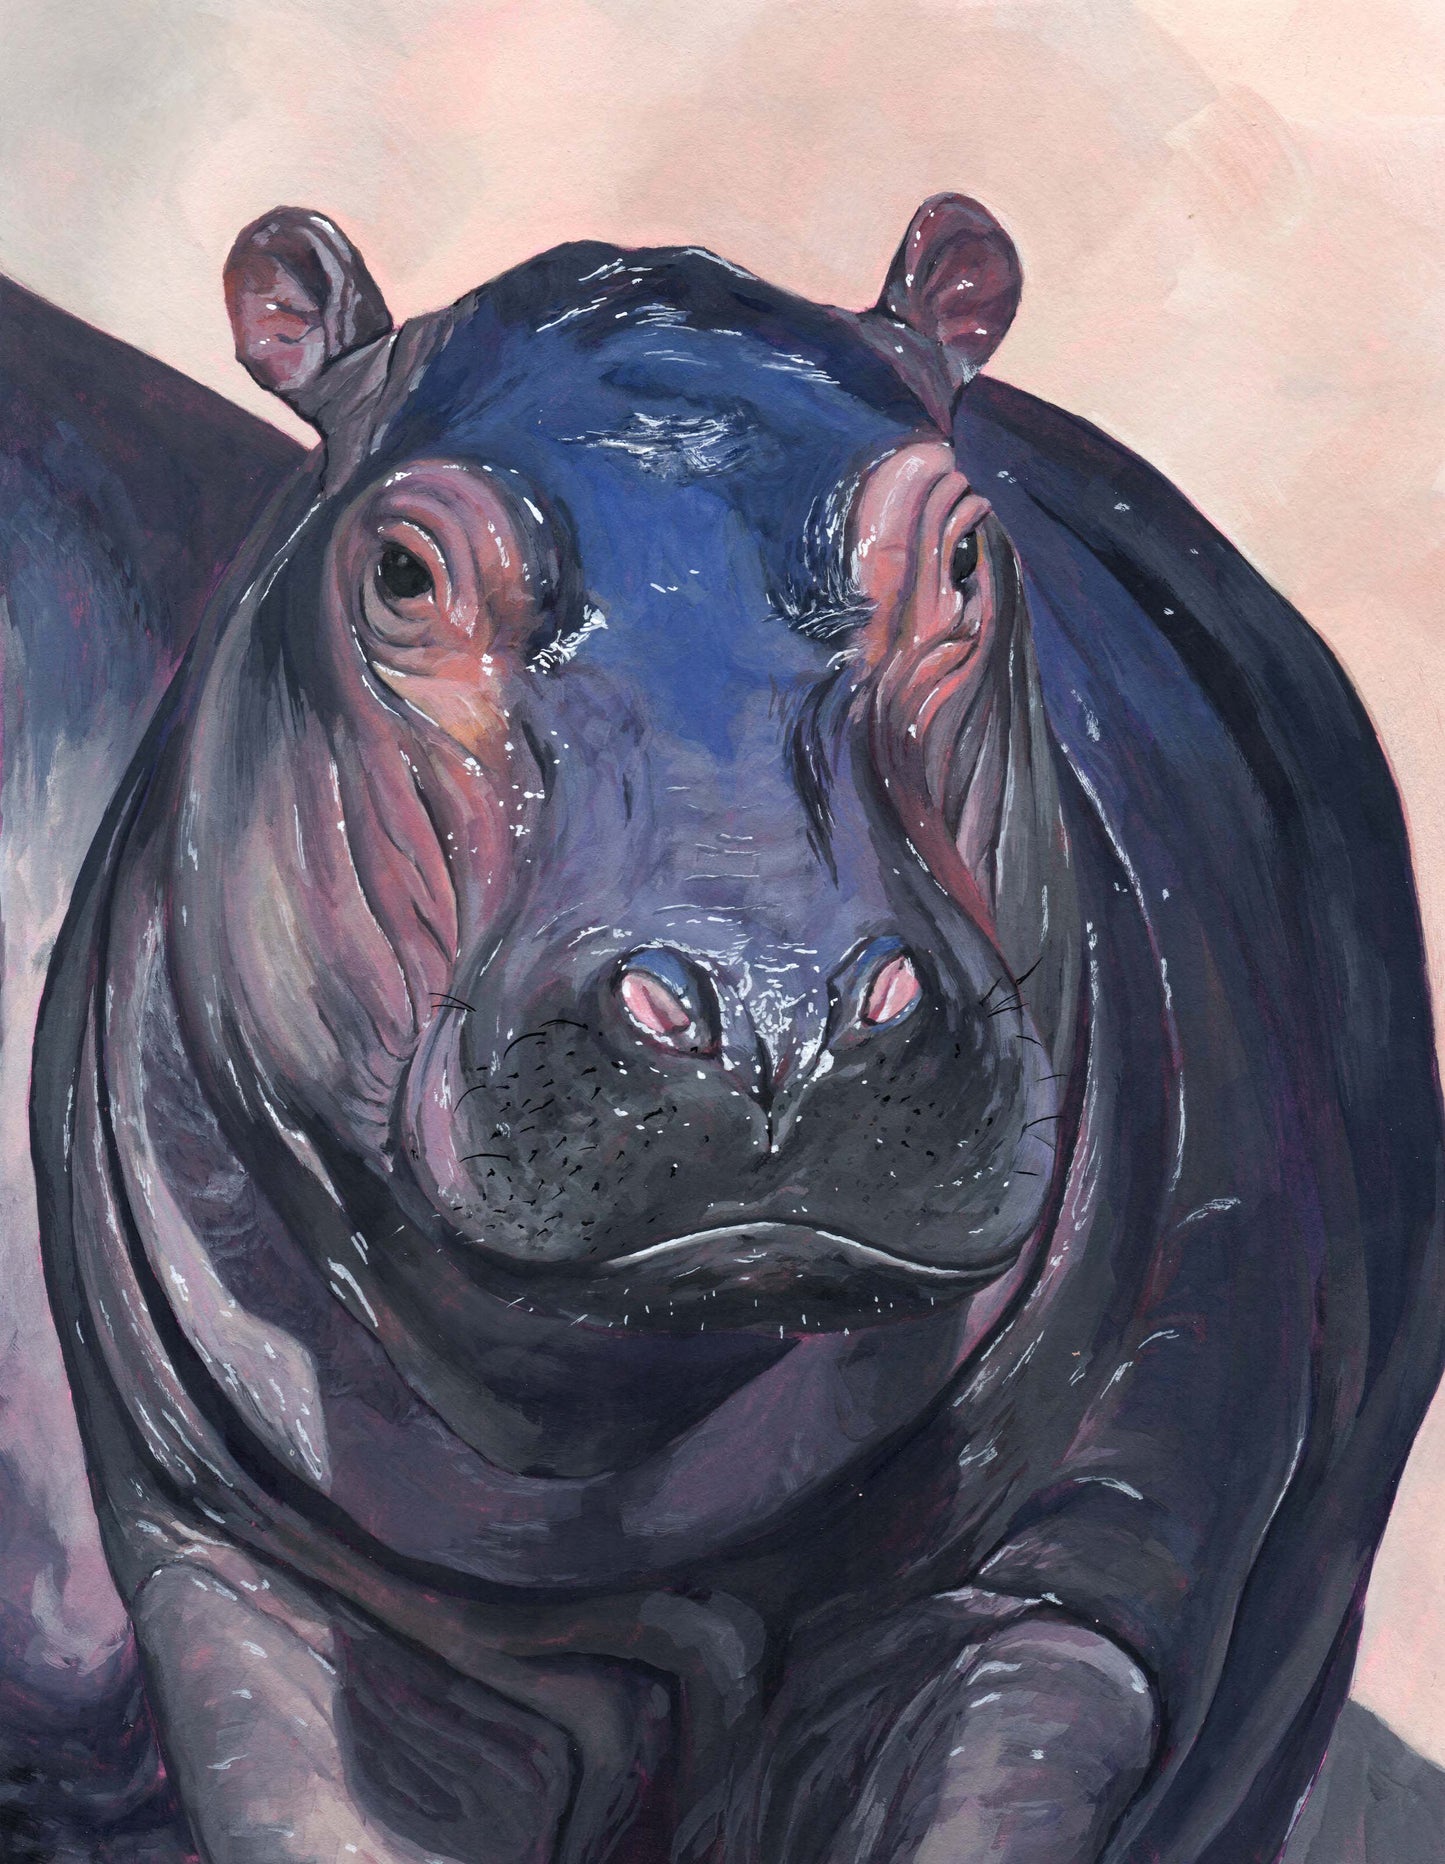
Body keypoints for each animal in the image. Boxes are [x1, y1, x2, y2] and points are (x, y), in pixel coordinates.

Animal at [2, 194, 1443, 1864]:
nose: (772, 1009)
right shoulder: (237, 1577)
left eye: (967, 549)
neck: (611, 1452)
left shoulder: (1059, 1589)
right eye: (404, 572)